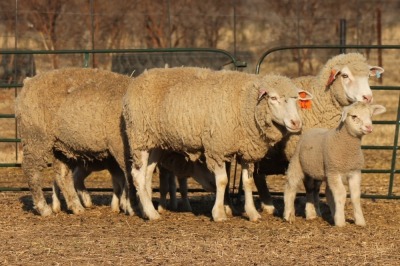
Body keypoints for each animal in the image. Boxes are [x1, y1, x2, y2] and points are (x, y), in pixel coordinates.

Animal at [15, 68, 135, 216]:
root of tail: (28, 82)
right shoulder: (122, 147)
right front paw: (130, 206)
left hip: (62, 145)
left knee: (62, 174)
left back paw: (76, 206)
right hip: (36, 137)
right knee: (31, 169)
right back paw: (44, 208)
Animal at [122, 67, 310, 222]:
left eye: (296, 100)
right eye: (273, 98)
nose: (296, 123)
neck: (244, 103)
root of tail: (138, 79)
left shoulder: (246, 149)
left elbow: (247, 182)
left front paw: (252, 213)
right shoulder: (217, 148)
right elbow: (222, 181)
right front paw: (219, 214)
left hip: (154, 143)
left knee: (147, 174)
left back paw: (146, 210)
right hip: (139, 137)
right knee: (137, 175)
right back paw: (152, 214)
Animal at [253, 52, 384, 214]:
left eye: (367, 76)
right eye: (345, 75)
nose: (368, 97)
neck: (320, 102)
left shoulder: (321, 152)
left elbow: (317, 184)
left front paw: (317, 208)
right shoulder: (303, 151)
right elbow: (310, 184)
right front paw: (311, 211)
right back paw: (268, 205)